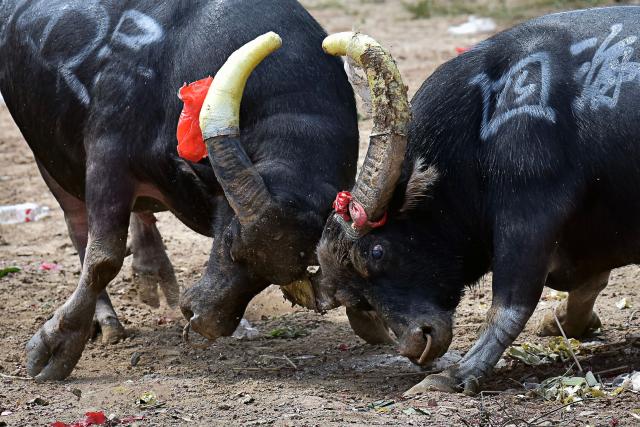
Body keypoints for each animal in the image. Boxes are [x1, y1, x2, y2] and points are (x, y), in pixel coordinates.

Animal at [0, 0, 397, 382]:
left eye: (292, 269)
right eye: (230, 242)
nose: (205, 320)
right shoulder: (105, 157)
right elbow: (103, 256)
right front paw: (56, 345)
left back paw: (152, 269)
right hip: (50, 157)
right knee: (78, 226)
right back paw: (105, 318)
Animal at [316, 6, 640, 395]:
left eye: (376, 252)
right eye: (354, 296)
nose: (416, 343)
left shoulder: (528, 217)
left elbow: (509, 307)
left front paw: (455, 374)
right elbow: (590, 283)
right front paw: (566, 320)